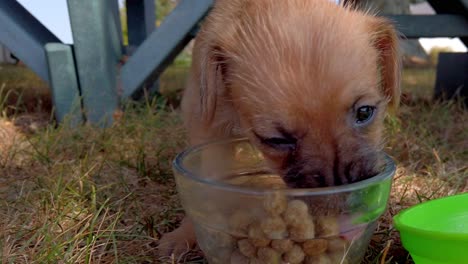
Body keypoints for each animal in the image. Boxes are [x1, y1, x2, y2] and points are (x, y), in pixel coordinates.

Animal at [159, 0, 400, 256]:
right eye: (277, 140)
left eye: (364, 112)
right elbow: (205, 187)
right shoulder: (207, 126)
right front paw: (185, 234)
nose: (348, 204)